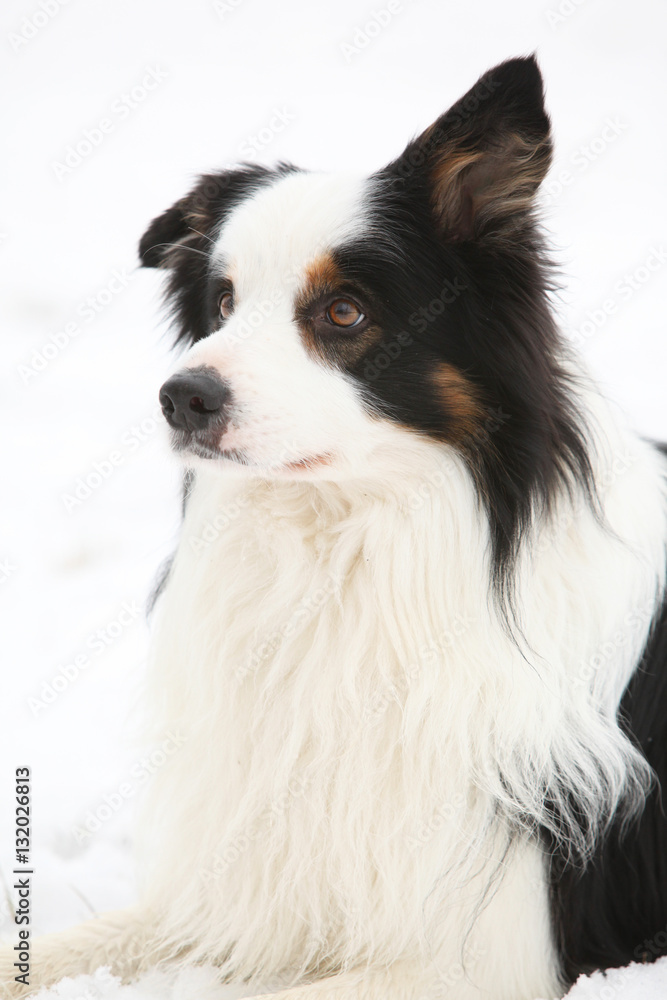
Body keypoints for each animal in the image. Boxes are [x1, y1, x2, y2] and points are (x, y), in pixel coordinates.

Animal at [5, 52, 667, 1000]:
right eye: (222, 302)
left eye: (344, 311)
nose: (180, 397)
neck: (342, 550)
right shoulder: (253, 881)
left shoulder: (485, 952)